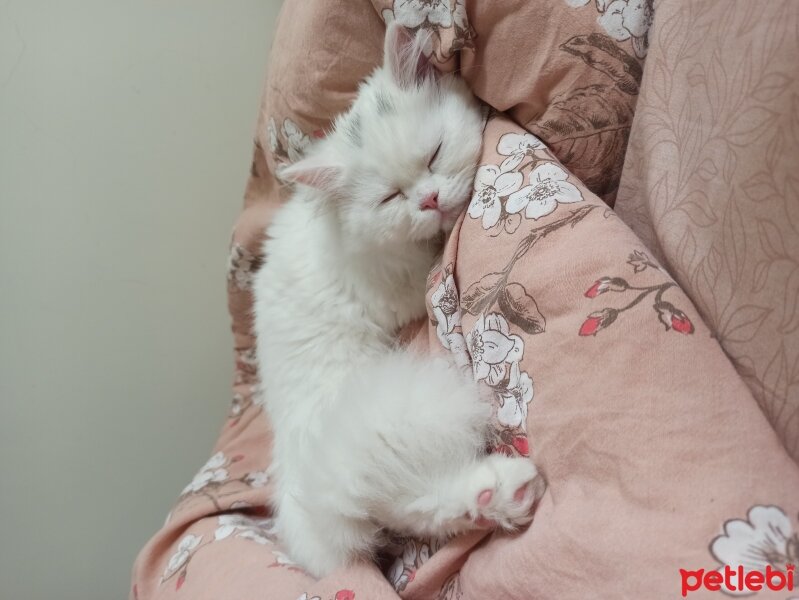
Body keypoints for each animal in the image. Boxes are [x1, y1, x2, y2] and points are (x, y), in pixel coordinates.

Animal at [255, 24, 544, 580]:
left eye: (434, 153)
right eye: (389, 197)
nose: (429, 200)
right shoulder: (393, 295)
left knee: (419, 507)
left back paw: (500, 497)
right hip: (386, 420)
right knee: (408, 497)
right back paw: (511, 486)